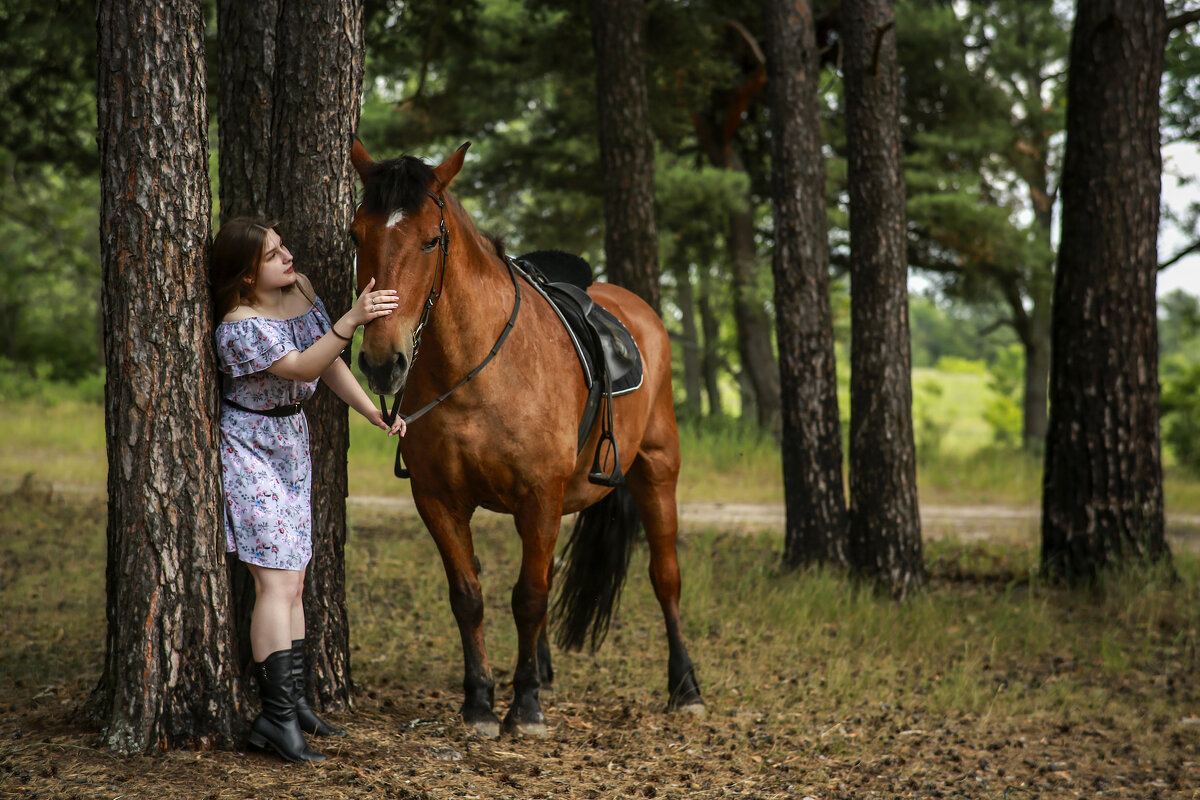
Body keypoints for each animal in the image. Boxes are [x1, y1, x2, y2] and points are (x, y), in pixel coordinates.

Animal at [348, 142, 700, 738]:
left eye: (431, 239)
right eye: (356, 236)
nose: (380, 360)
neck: (477, 370)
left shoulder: (539, 495)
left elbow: (530, 598)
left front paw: (527, 705)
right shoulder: (438, 500)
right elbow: (469, 596)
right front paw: (480, 701)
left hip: (657, 469)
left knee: (665, 577)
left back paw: (686, 687)